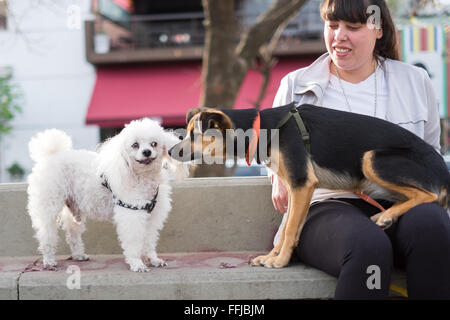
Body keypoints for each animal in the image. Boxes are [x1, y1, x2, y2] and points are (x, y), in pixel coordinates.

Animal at [169, 102, 450, 268]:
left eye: (193, 135)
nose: (170, 151)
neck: (265, 129)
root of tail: (444, 170)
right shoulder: (296, 188)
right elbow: (287, 228)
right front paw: (272, 256)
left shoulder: (302, 184)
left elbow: (290, 229)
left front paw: (280, 261)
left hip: (372, 159)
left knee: (430, 194)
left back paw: (386, 215)